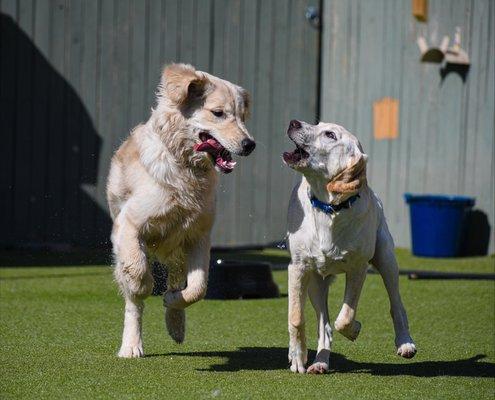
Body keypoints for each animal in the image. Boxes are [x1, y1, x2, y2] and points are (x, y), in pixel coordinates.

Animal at [107, 64, 256, 358]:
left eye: (241, 115)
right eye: (218, 113)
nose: (249, 144)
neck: (185, 167)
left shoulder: (198, 236)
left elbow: (198, 288)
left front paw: (173, 301)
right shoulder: (129, 225)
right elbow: (138, 275)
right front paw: (144, 285)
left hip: (177, 249)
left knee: (177, 280)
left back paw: (175, 323)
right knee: (133, 302)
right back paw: (131, 345)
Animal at [282, 119, 418, 376]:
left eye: (330, 135)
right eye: (317, 123)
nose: (293, 122)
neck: (328, 209)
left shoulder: (358, 268)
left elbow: (345, 316)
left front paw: (354, 329)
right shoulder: (297, 267)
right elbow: (296, 317)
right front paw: (297, 356)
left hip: (387, 259)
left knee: (397, 304)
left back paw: (405, 343)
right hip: (315, 283)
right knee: (324, 327)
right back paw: (320, 362)